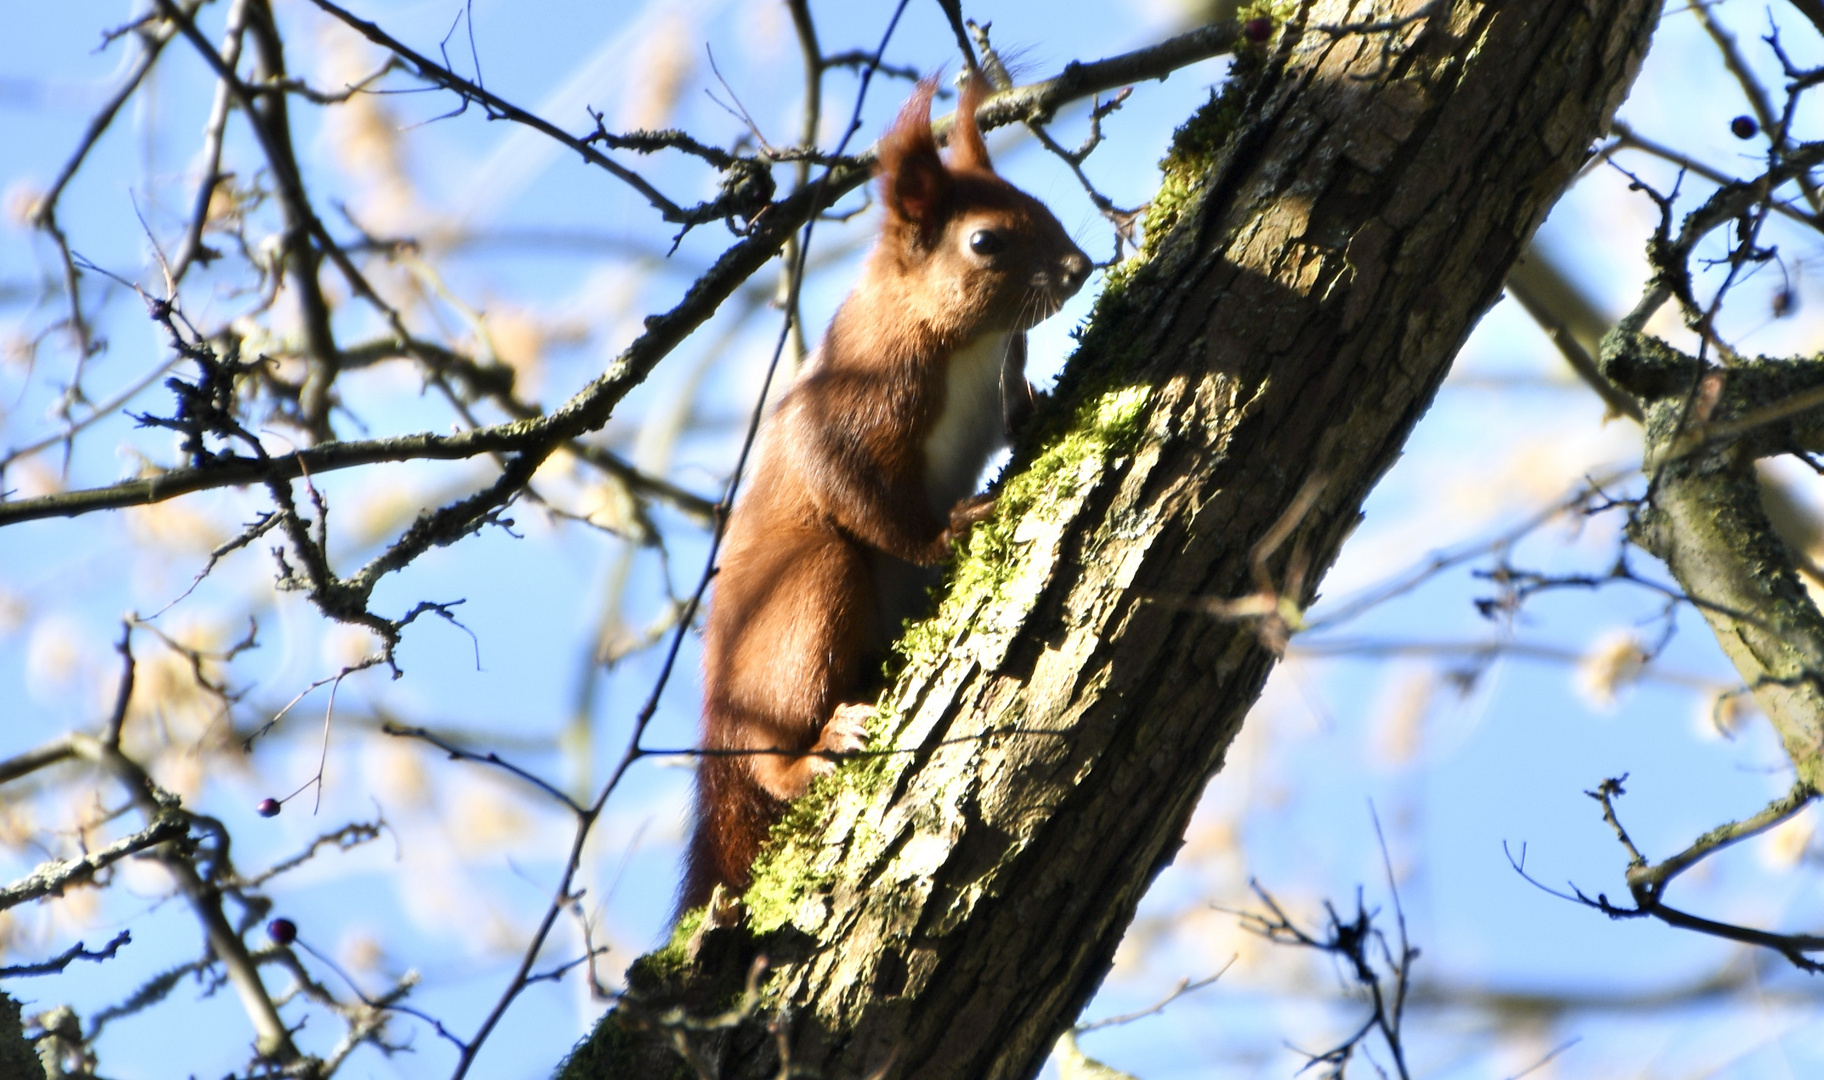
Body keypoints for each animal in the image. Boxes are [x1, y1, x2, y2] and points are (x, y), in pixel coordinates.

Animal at [682, 75, 1079, 915]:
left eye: (1034, 200)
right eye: (986, 242)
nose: (1079, 266)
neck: (968, 342)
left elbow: (1013, 414)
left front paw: (1041, 405)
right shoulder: (855, 397)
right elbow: (856, 488)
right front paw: (947, 534)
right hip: (805, 595)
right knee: (773, 752)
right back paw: (819, 750)